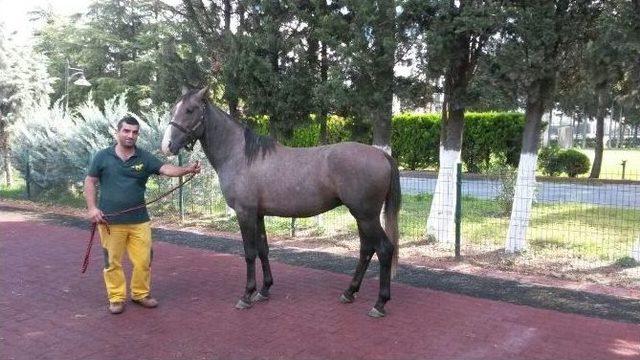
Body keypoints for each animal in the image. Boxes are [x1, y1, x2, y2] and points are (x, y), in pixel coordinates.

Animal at [160, 88, 400, 318]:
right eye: (173, 109)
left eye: (190, 110)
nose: (167, 146)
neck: (240, 156)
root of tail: (382, 155)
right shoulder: (258, 214)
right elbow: (263, 250)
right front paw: (264, 290)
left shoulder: (244, 213)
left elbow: (249, 252)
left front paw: (246, 295)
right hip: (361, 216)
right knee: (367, 249)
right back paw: (349, 292)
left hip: (366, 216)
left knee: (384, 249)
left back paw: (379, 304)